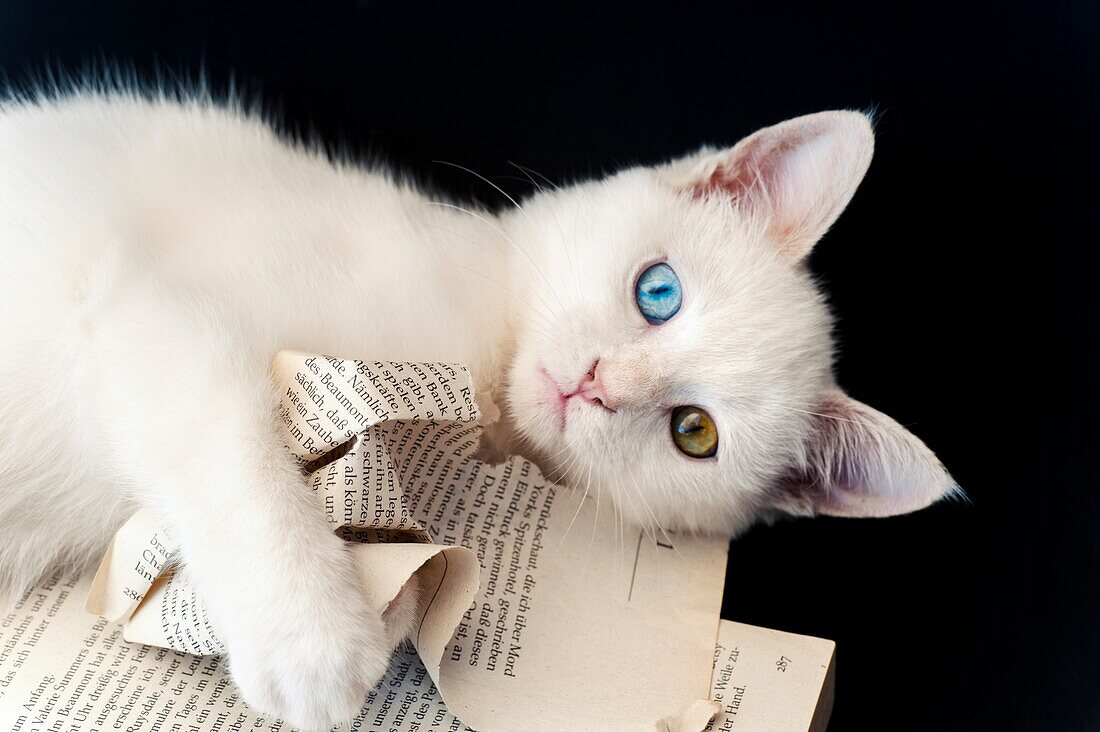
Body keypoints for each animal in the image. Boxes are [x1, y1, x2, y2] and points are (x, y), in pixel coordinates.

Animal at [0, 89, 954, 726]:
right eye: (659, 292)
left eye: (694, 433)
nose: (595, 385)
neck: (485, 369)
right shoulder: (144, 305)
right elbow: (229, 439)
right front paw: (313, 636)